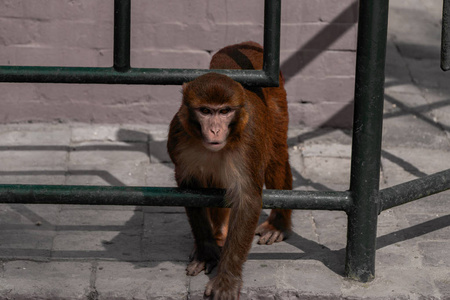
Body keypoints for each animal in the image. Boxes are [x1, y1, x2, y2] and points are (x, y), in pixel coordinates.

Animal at [166, 41, 292, 298]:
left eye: (224, 111)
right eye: (205, 111)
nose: (215, 130)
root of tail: (246, 45)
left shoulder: (249, 140)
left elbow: (247, 199)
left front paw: (226, 279)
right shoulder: (178, 135)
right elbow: (190, 189)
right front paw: (207, 252)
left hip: (277, 101)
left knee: (276, 156)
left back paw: (279, 224)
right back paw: (218, 237)